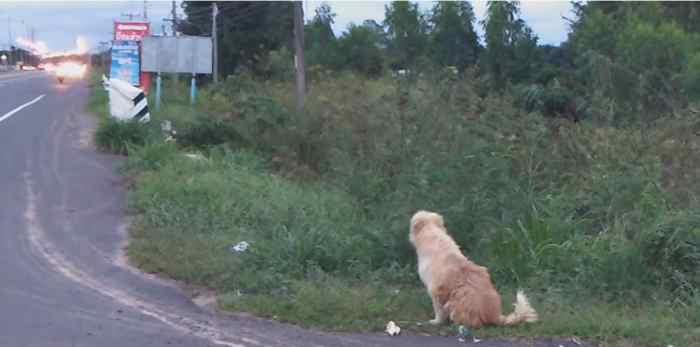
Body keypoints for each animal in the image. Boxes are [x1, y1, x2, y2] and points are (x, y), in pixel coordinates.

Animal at [408, 211, 540, 328]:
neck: (432, 232)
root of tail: (495, 315)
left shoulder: (435, 290)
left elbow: (438, 310)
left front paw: (436, 322)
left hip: (457, 301)